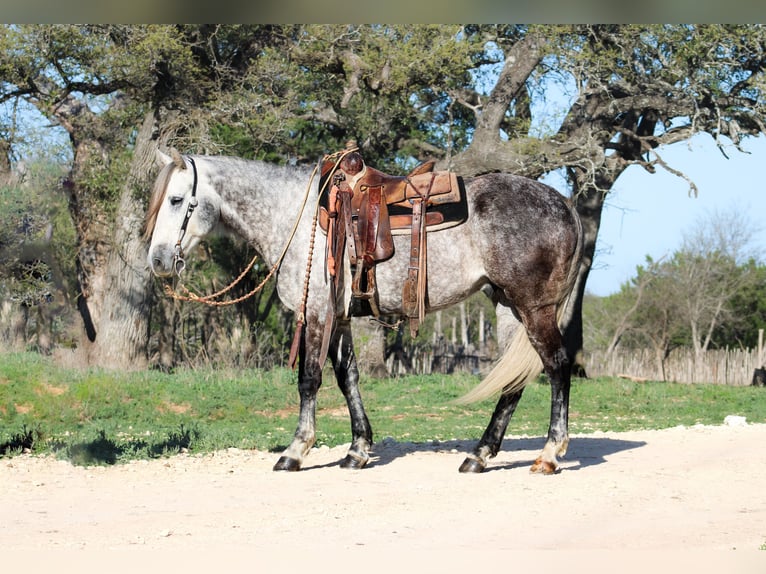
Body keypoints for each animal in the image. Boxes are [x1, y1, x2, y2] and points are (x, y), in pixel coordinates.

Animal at [145, 148, 583, 474]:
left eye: (177, 200)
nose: (159, 260)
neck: (296, 217)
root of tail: (564, 203)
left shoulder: (317, 313)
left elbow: (309, 379)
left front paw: (296, 450)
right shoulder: (339, 318)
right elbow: (347, 377)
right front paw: (357, 450)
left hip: (534, 309)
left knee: (557, 366)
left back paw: (548, 454)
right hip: (508, 307)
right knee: (514, 382)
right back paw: (479, 455)